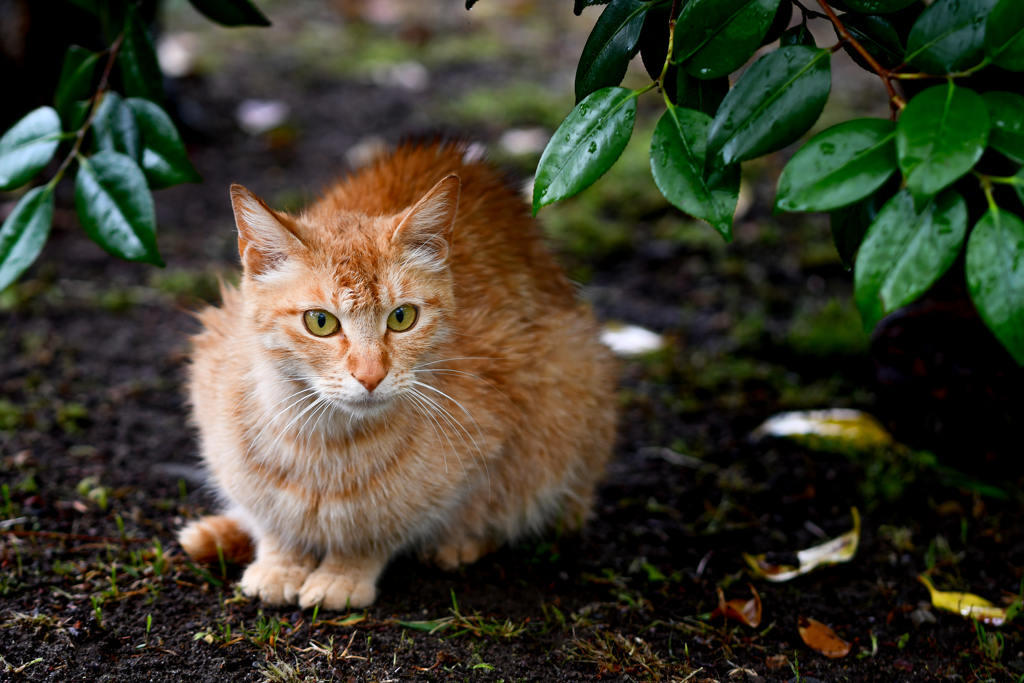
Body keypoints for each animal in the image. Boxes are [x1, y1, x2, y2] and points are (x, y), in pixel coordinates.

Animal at [178, 139, 614, 610]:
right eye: (320, 322)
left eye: (402, 317)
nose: (371, 375)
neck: (322, 443)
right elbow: (273, 524)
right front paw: (281, 564)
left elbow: (376, 531)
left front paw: (342, 575)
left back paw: (459, 543)